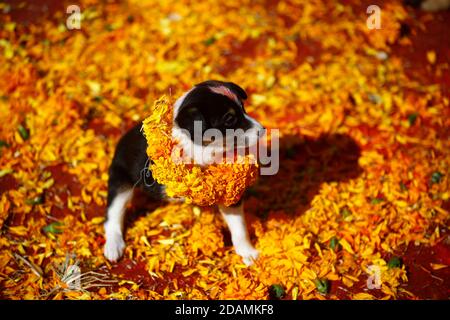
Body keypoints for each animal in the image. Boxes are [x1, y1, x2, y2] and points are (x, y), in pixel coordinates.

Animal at [103, 80, 266, 264]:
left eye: (243, 108)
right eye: (229, 119)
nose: (263, 130)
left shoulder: (229, 192)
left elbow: (239, 226)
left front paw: (248, 252)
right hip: (120, 182)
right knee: (113, 215)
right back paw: (113, 247)